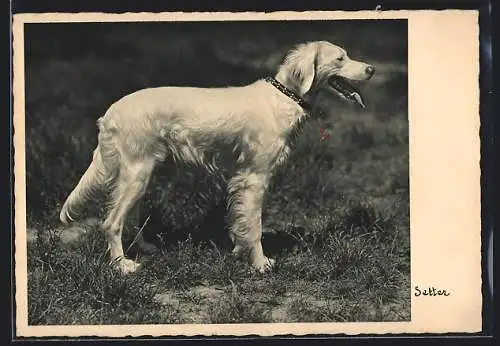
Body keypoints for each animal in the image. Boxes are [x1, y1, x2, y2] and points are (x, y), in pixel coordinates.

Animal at [58, 41, 376, 274]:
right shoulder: (255, 178)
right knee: (112, 222)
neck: (284, 97)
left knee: (131, 217)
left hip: (140, 175)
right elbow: (255, 226)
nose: (371, 69)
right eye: (340, 59)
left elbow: (240, 221)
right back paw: (122, 265)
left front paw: (239, 250)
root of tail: (110, 112)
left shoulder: (240, 179)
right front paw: (260, 263)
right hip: (136, 174)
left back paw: (145, 248)